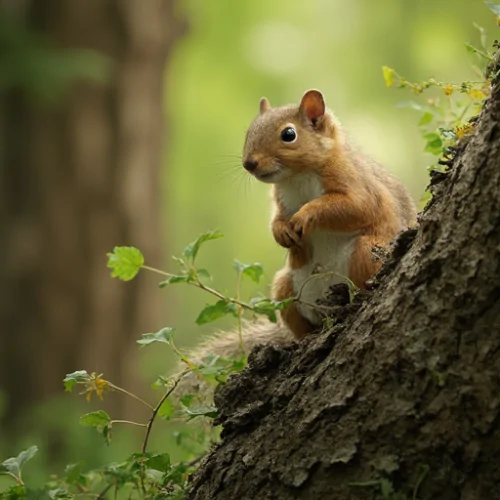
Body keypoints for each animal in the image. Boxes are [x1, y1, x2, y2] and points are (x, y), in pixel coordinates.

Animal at [242, 89, 418, 340]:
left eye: (288, 134)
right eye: (249, 131)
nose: (249, 163)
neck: (297, 177)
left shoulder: (357, 184)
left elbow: (357, 206)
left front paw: (305, 215)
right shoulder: (282, 201)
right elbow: (277, 219)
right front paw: (281, 232)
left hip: (367, 252)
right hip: (284, 288)